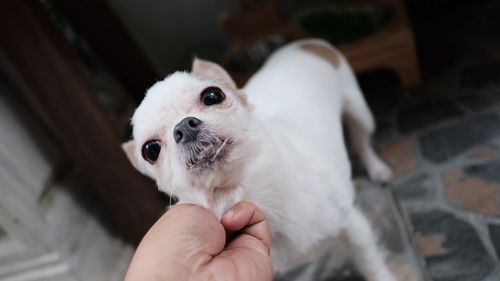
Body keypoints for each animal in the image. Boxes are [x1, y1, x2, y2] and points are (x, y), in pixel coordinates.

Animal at [124, 38, 394, 278]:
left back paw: (377, 169)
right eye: (151, 150)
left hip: (360, 112)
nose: (184, 127)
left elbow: (370, 264)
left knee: (361, 142)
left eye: (212, 96)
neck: (251, 193)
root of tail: (306, 42)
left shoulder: (353, 226)